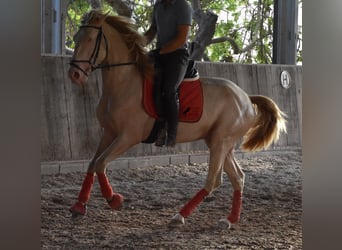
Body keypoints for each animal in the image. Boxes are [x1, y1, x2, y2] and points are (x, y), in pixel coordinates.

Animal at [67, 9, 286, 229]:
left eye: (89, 39)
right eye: (76, 38)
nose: (74, 75)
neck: (124, 83)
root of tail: (246, 98)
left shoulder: (128, 137)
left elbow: (100, 163)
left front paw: (114, 199)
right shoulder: (109, 132)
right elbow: (92, 163)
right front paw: (79, 206)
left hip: (220, 142)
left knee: (213, 180)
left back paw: (179, 216)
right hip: (221, 143)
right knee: (237, 177)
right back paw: (229, 219)